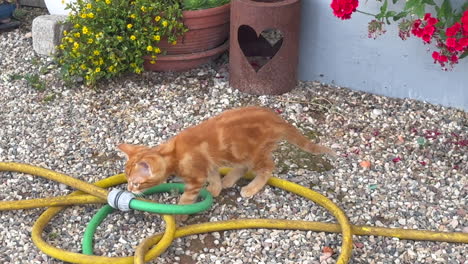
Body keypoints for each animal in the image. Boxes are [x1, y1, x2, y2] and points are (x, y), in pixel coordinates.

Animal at [119, 105, 334, 214]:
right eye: (127, 180)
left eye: (136, 183)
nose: (129, 188)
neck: (173, 153)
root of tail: (277, 119)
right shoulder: (209, 162)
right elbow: (213, 174)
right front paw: (215, 188)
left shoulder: (196, 177)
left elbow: (187, 199)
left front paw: (180, 213)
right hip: (241, 153)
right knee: (244, 166)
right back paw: (228, 180)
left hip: (255, 153)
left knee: (268, 167)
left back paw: (251, 188)